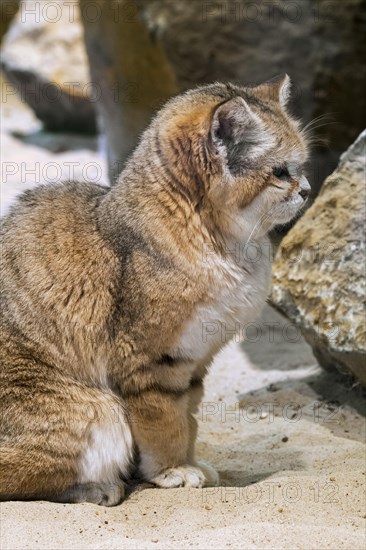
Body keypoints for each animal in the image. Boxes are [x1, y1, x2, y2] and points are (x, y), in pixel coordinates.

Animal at [0, 75, 308, 506]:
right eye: (281, 172)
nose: (308, 190)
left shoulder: (197, 360)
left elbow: (188, 419)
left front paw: (188, 462)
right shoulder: (150, 361)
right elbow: (165, 423)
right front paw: (172, 470)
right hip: (98, 410)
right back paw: (97, 487)